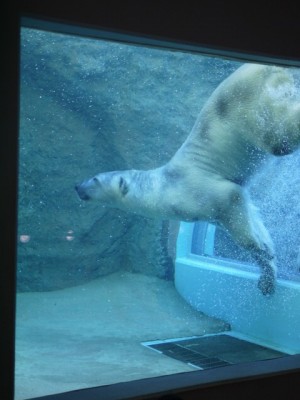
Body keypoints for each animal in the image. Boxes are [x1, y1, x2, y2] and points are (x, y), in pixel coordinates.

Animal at [76, 62, 300, 294]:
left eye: (95, 179)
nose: (77, 187)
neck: (161, 187)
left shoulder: (197, 191)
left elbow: (231, 199)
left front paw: (260, 250)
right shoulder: (212, 211)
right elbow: (253, 218)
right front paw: (267, 275)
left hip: (249, 103)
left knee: (277, 137)